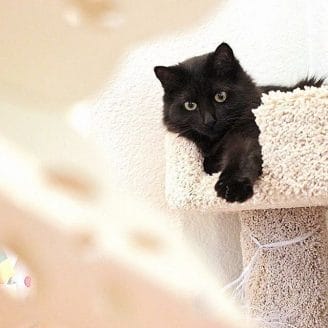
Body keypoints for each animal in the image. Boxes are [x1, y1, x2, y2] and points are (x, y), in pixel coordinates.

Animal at [155, 43, 324, 202]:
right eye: (190, 105)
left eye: (220, 96)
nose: (209, 120)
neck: (218, 141)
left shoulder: (248, 131)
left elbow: (241, 157)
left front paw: (232, 186)